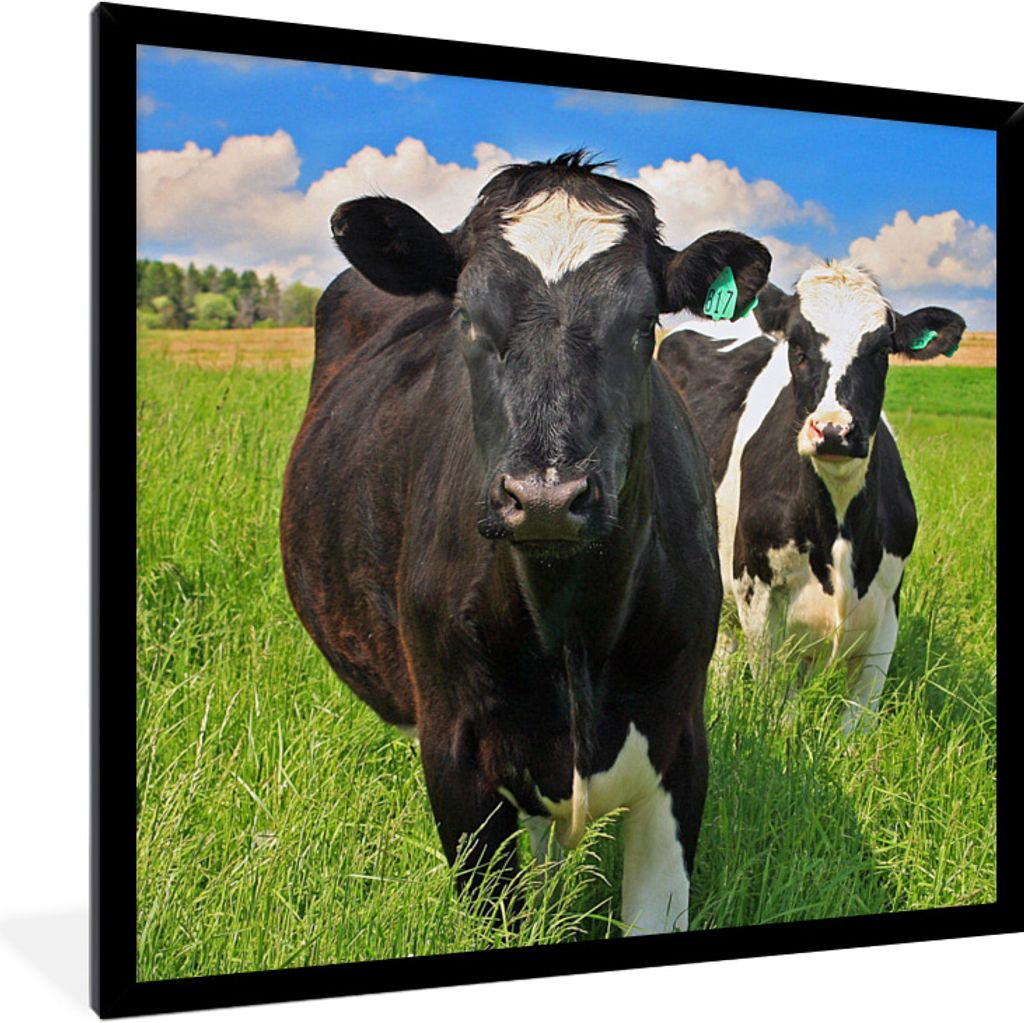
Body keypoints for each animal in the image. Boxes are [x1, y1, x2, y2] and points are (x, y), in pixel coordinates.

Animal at [280, 152, 771, 934]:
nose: (545, 497)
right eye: (467, 317)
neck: (571, 625)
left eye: (644, 325)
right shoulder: (455, 756)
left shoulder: (681, 746)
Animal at [657, 260, 965, 733]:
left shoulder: (887, 604)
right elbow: (776, 705)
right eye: (798, 348)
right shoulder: (757, 592)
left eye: (881, 351)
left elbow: (857, 722)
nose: (835, 430)